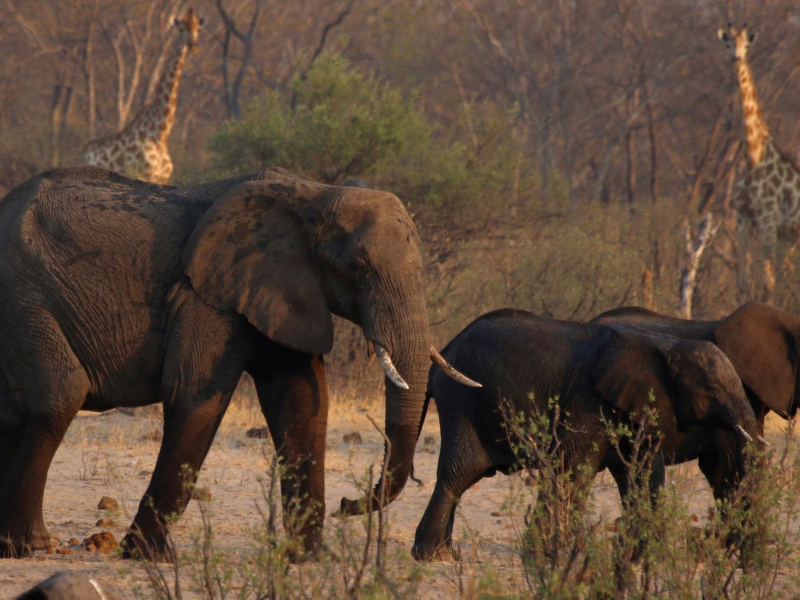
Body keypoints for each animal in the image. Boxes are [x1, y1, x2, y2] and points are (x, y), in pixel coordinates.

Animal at [0, 164, 476, 556]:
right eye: (358, 268)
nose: (348, 503)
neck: (315, 194)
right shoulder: (206, 297)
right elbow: (195, 397)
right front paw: (148, 556)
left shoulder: (286, 291)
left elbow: (302, 405)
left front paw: (310, 559)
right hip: (22, 300)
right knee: (59, 396)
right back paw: (33, 546)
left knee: (17, 414)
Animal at [83, 8, 203, 183]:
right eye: (181, 29)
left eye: (198, 29)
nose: (194, 46)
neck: (160, 134)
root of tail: (85, 154)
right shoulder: (143, 174)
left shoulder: (162, 179)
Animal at [412, 310, 756, 564]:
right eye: (710, 389)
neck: (665, 345)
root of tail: (442, 351)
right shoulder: (587, 400)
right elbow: (572, 469)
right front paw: (547, 556)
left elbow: (643, 472)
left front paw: (640, 555)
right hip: (462, 397)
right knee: (460, 472)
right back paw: (432, 557)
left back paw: (443, 554)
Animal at [720, 24, 800, 270]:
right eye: (728, 44)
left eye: (747, 45)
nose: (736, 59)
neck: (753, 158)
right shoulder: (742, 219)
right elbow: (744, 272)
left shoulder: (769, 219)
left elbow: (767, 272)